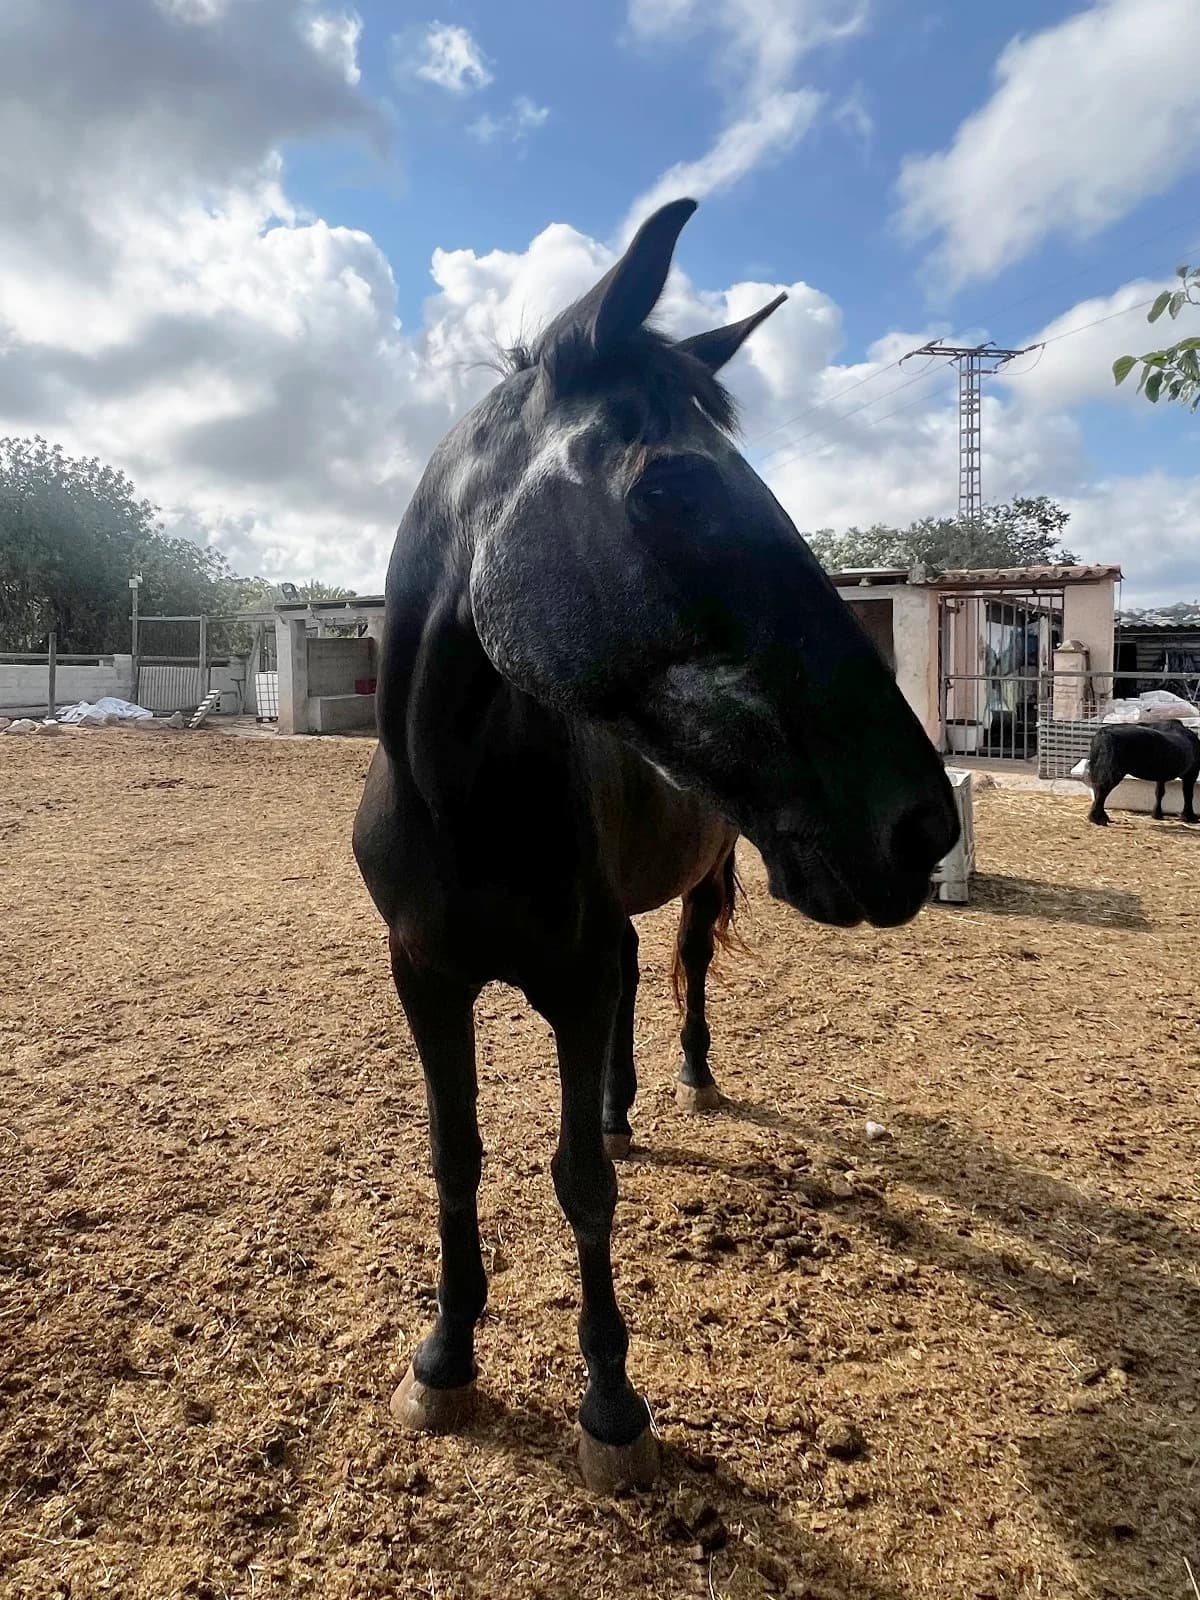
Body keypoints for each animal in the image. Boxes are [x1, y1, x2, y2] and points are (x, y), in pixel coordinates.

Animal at [352, 197, 959, 1492]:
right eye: (671, 489)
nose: (923, 825)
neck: (459, 798)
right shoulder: (425, 977)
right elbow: (455, 1155)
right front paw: (446, 1351)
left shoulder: (571, 979)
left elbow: (581, 1184)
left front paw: (611, 1401)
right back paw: (627, 1100)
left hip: (695, 884)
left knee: (674, 973)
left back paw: (679, 1077)